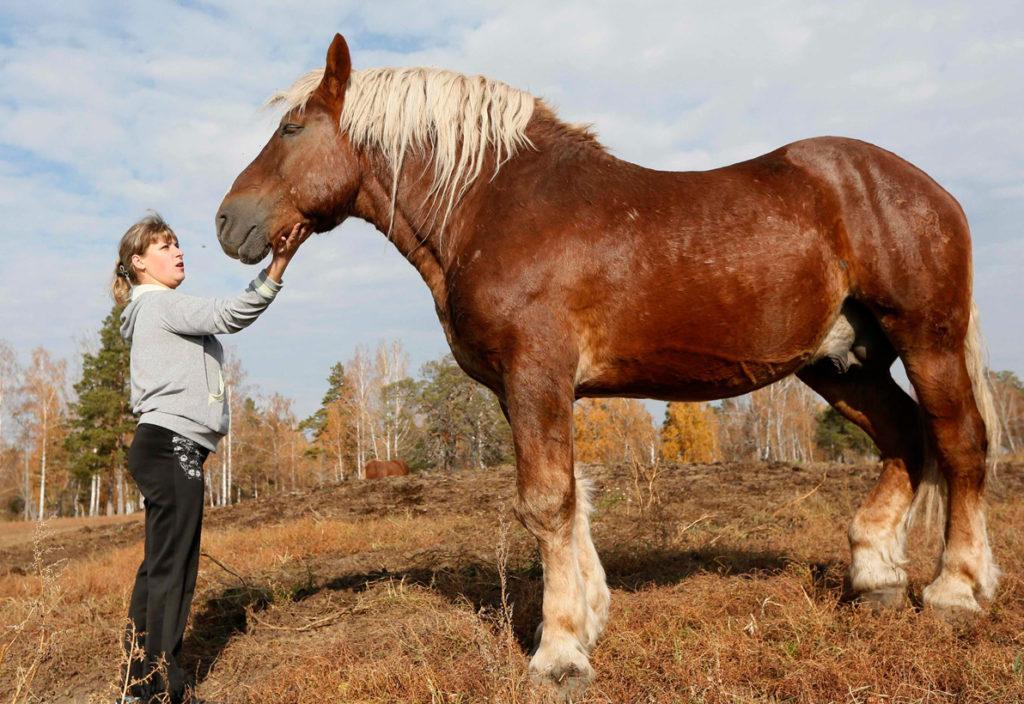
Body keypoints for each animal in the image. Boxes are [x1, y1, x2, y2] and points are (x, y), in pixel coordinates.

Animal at [216, 34, 1000, 692]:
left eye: (291, 129)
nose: (228, 222)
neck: (492, 205)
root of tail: (931, 191)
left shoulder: (537, 373)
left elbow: (547, 502)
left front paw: (558, 652)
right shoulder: (527, 387)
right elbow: (571, 499)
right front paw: (588, 620)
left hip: (925, 339)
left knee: (959, 442)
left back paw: (956, 591)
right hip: (841, 364)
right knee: (904, 439)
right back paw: (875, 579)